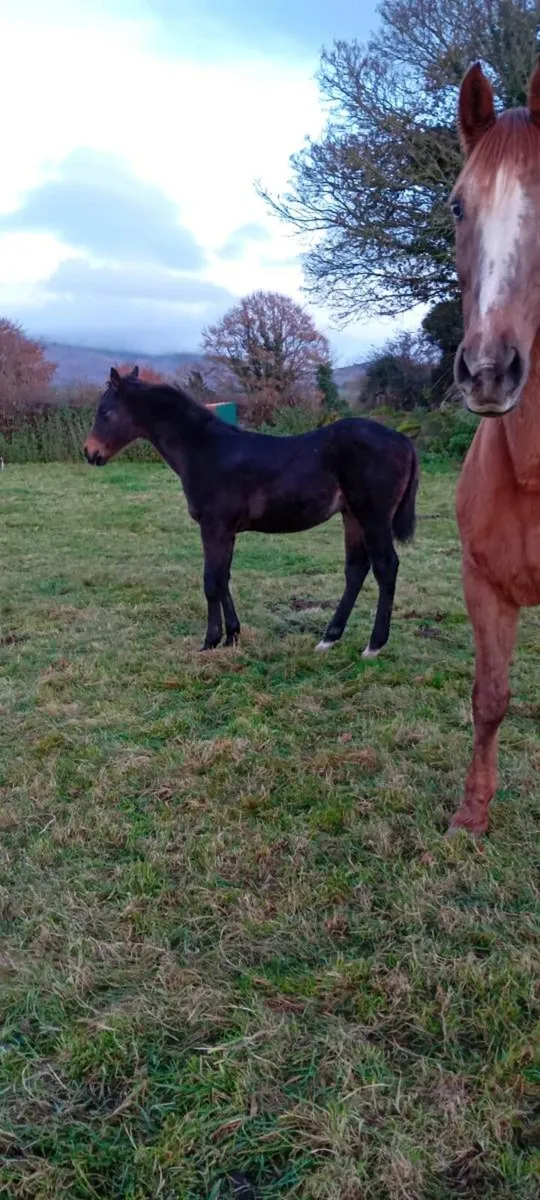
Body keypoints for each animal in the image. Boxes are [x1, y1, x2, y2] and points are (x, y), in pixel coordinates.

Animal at [84, 368, 418, 655]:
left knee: (386, 567)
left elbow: (211, 581)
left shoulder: (213, 526)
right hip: (352, 516)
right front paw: (232, 635)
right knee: (356, 569)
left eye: (105, 411)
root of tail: (403, 439)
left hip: (374, 516)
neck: (206, 451)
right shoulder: (226, 531)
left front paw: (210, 641)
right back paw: (329, 638)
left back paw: (374, 645)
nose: (89, 452)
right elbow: (223, 577)